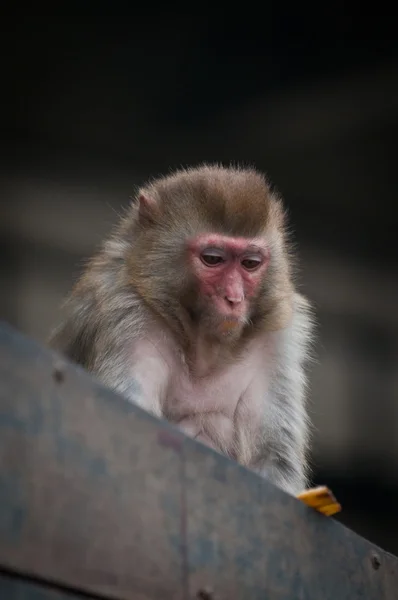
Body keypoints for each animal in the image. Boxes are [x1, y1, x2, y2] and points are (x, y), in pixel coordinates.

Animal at [49, 165, 314, 496]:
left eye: (251, 263)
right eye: (213, 259)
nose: (234, 298)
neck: (204, 346)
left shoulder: (278, 340)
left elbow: (273, 460)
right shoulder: (124, 313)